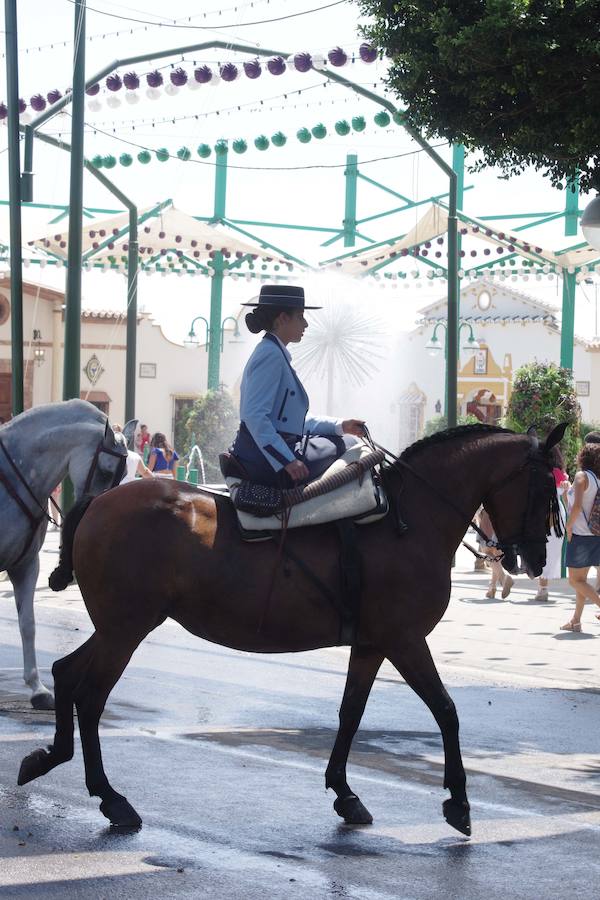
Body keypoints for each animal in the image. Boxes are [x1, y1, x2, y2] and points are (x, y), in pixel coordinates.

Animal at [16, 424, 564, 836]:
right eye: (545, 486)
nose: (537, 559)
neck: (409, 519)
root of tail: (101, 501)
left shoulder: (371, 645)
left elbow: (350, 714)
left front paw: (344, 792)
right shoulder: (405, 641)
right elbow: (447, 711)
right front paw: (458, 802)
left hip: (120, 626)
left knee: (67, 674)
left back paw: (50, 756)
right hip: (125, 630)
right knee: (90, 697)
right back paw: (110, 797)